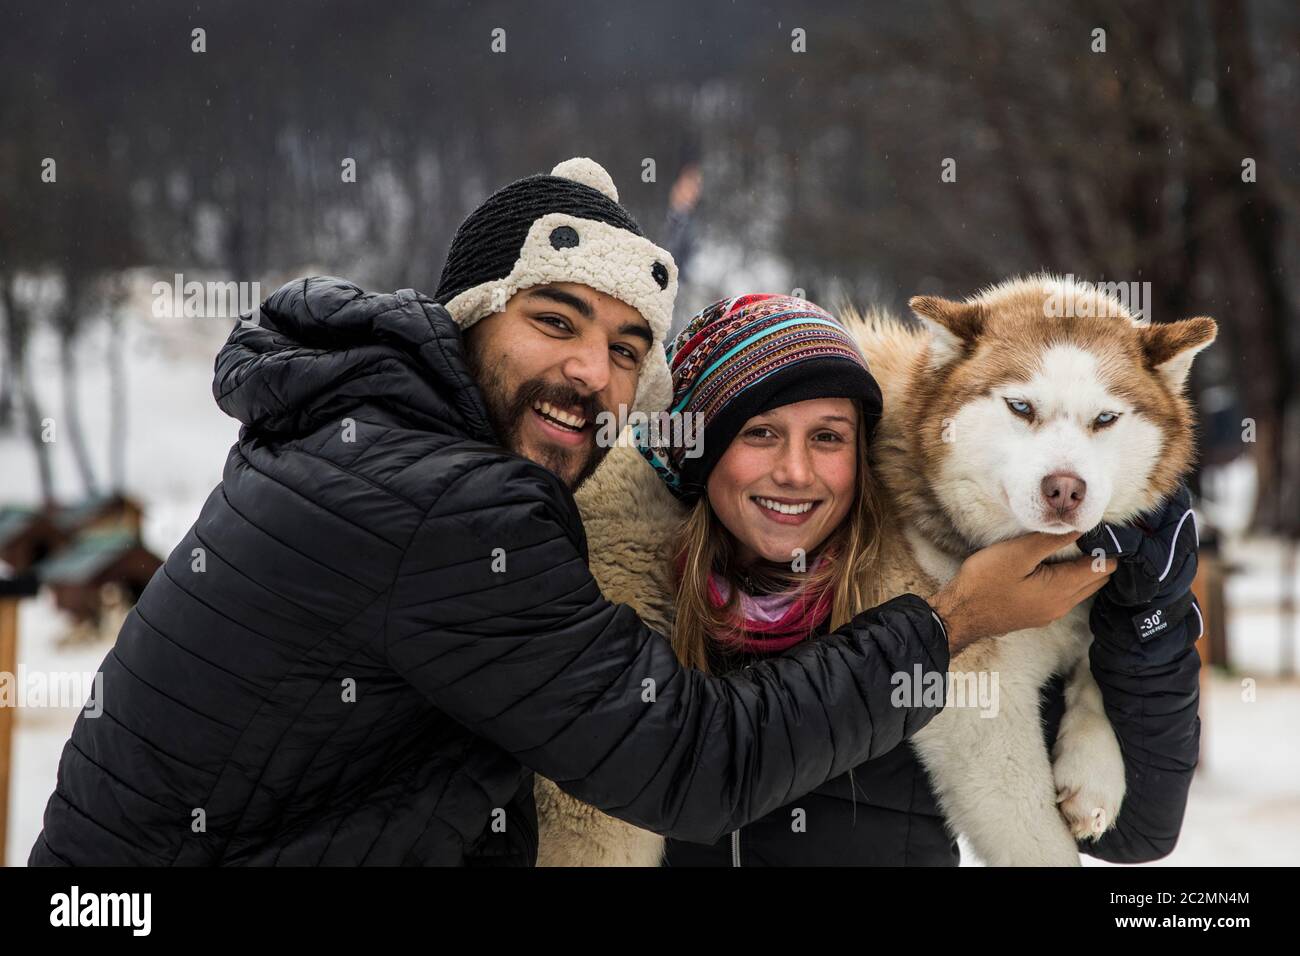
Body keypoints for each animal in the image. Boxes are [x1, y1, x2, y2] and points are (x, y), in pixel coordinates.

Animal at [533, 274, 1211, 868]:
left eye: (1106, 420)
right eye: (1021, 407)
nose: (1065, 489)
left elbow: (1100, 655)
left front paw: (1093, 777)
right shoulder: (972, 700)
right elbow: (1036, 840)